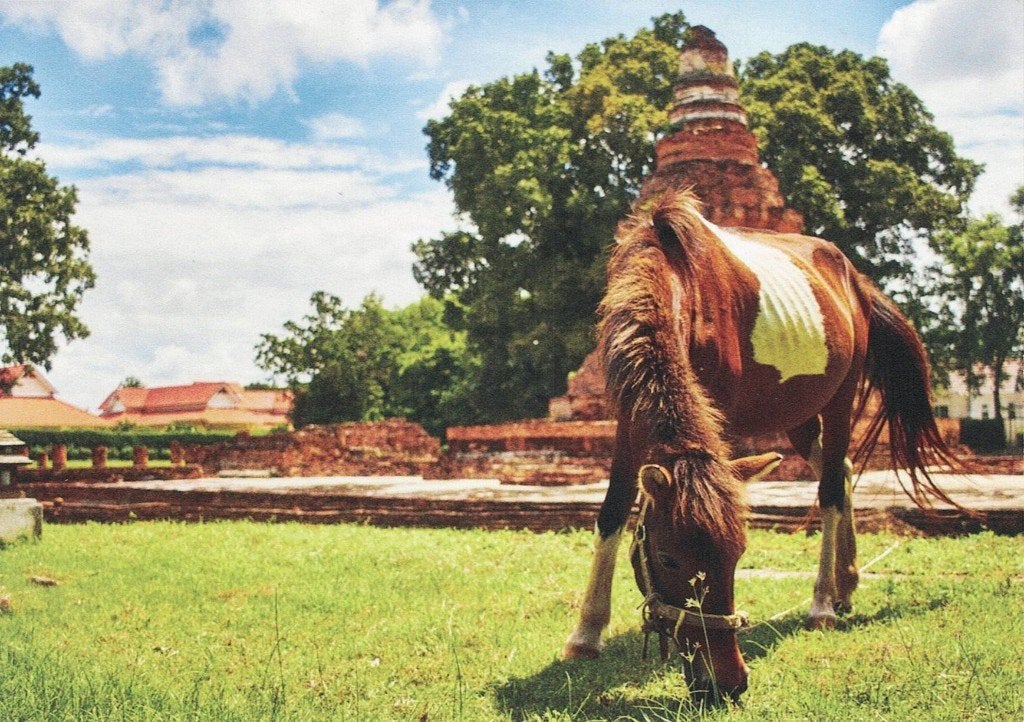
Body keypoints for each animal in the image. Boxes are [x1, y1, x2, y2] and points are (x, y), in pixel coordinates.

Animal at [562, 188, 959, 703]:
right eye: (668, 558)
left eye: (738, 558)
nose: (726, 684)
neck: (675, 280)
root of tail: (853, 279)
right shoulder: (630, 414)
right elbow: (613, 509)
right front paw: (586, 634)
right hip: (798, 413)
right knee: (843, 469)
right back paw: (846, 582)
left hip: (841, 396)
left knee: (831, 490)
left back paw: (822, 603)